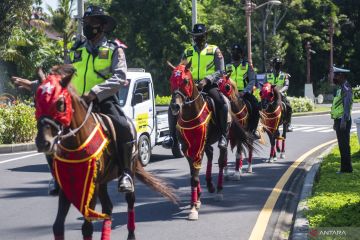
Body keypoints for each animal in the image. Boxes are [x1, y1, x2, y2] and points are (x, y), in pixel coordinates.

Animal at [35, 64, 179, 240]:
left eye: (60, 103)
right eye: (36, 101)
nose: (43, 142)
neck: (76, 144)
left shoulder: (92, 186)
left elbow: (87, 227)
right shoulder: (67, 187)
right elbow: (57, 226)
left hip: (128, 169)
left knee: (130, 201)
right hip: (102, 181)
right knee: (108, 207)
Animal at [167, 61, 252, 220]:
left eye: (185, 80)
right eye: (171, 81)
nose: (175, 106)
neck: (190, 114)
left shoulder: (199, 145)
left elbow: (195, 175)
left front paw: (193, 207)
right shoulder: (187, 148)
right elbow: (193, 173)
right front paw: (196, 201)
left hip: (223, 136)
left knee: (221, 160)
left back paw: (218, 190)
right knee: (211, 155)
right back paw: (210, 186)